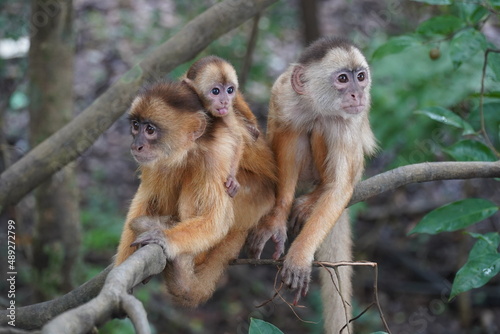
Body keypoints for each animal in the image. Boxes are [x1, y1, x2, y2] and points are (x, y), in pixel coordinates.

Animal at [184, 54, 262, 196]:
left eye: (229, 90)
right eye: (216, 91)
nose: (225, 101)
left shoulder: (227, 113)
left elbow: (237, 138)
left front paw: (232, 178)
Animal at [246, 37, 376, 334]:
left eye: (360, 77)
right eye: (343, 79)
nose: (358, 94)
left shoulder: (349, 122)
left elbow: (339, 188)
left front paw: (300, 254)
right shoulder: (283, 93)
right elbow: (287, 140)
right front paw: (276, 220)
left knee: (323, 128)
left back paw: (317, 194)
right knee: (299, 130)